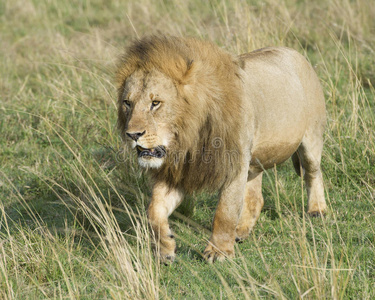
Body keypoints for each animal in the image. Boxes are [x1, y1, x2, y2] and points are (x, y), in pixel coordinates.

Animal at [116, 35, 328, 264]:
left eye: (156, 103)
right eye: (127, 103)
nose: (132, 135)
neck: (189, 138)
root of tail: (297, 54)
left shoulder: (234, 163)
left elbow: (225, 212)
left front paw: (218, 252)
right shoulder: (179, 172)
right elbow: (154, 210)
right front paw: (165, 249)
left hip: (311, 139)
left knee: (314, 173)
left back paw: (317, 210)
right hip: (253, 161)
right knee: (255, 197)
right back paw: (240, 231)